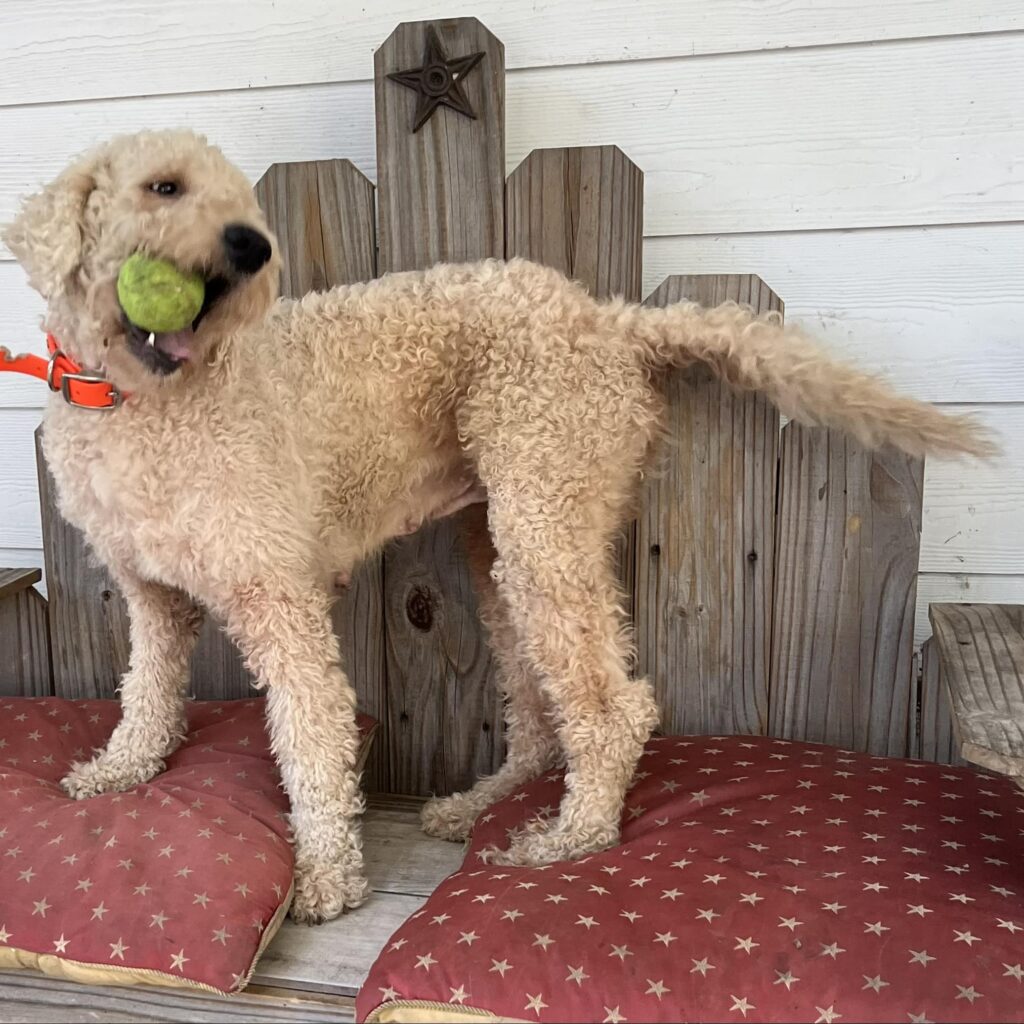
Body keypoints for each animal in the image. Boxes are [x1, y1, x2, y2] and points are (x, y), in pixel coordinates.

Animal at [0, 132, 991, 925]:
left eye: (243, 204)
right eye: (162, 186)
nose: (253, 247)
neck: (142, 401)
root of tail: (611, 319)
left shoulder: (279, 598)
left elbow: (312, 743)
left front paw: (326, 877)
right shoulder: (153, 597)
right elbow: (147, 693)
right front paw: (119, 771)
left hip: (543, 527)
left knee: (614, 709)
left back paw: (570, 840)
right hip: (502, 555)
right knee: (544, 719)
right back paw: (479, 808)